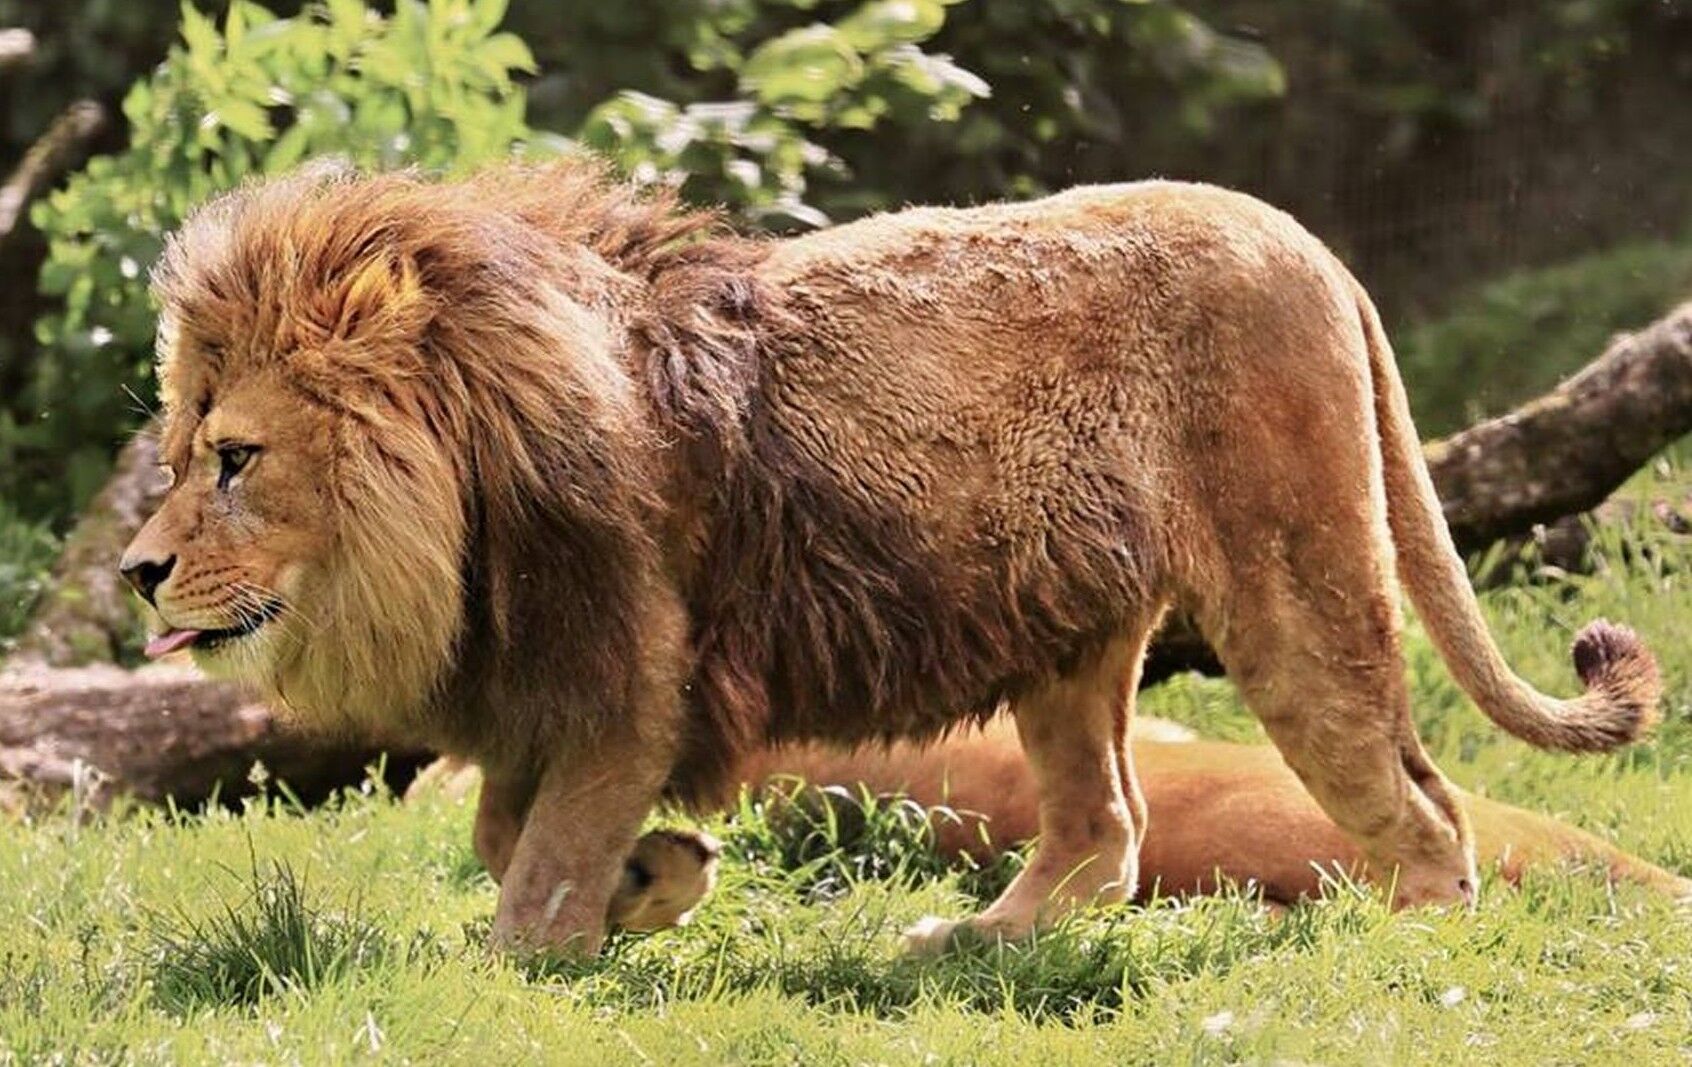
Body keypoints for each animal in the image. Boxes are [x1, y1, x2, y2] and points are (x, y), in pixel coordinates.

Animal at [125, 160, 1658, 960]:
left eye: (236, 458)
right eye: (179, 442)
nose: (137, 573)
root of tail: (1309, 241)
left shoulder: (633, 677)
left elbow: (536, 861)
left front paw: (531, 965)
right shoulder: (538, 687)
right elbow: (507, 832)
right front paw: (660, 879)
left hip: (1298, 589)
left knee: (1423, 805)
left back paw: (1409, 945)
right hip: (1069, 635)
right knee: (1108, 830)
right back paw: (970, 940)